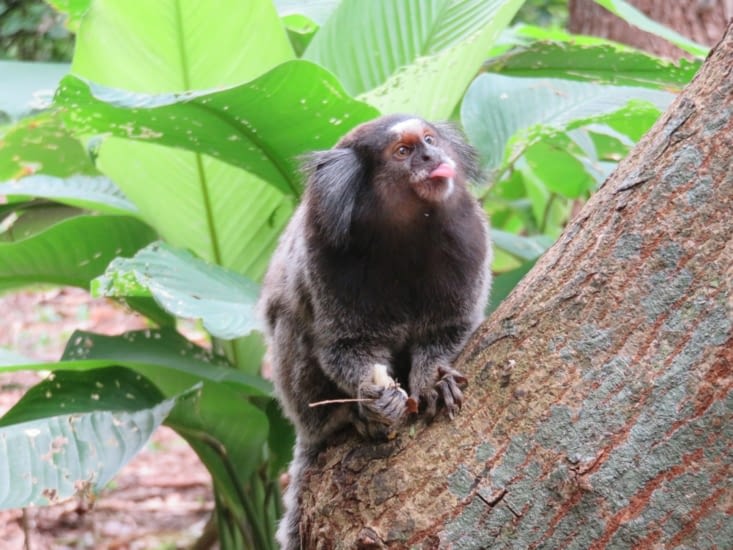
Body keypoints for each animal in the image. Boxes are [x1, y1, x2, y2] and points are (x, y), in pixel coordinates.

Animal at [258, 114, 492, 549]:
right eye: (403, 152)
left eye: (430, 140)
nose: (432, 156)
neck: (406, 232)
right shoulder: (324, 255)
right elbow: (344, 346)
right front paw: (376, 396)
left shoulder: (471, 238)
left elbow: (451, 326)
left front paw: (432, 380)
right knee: (291, 324)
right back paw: (350, 416)